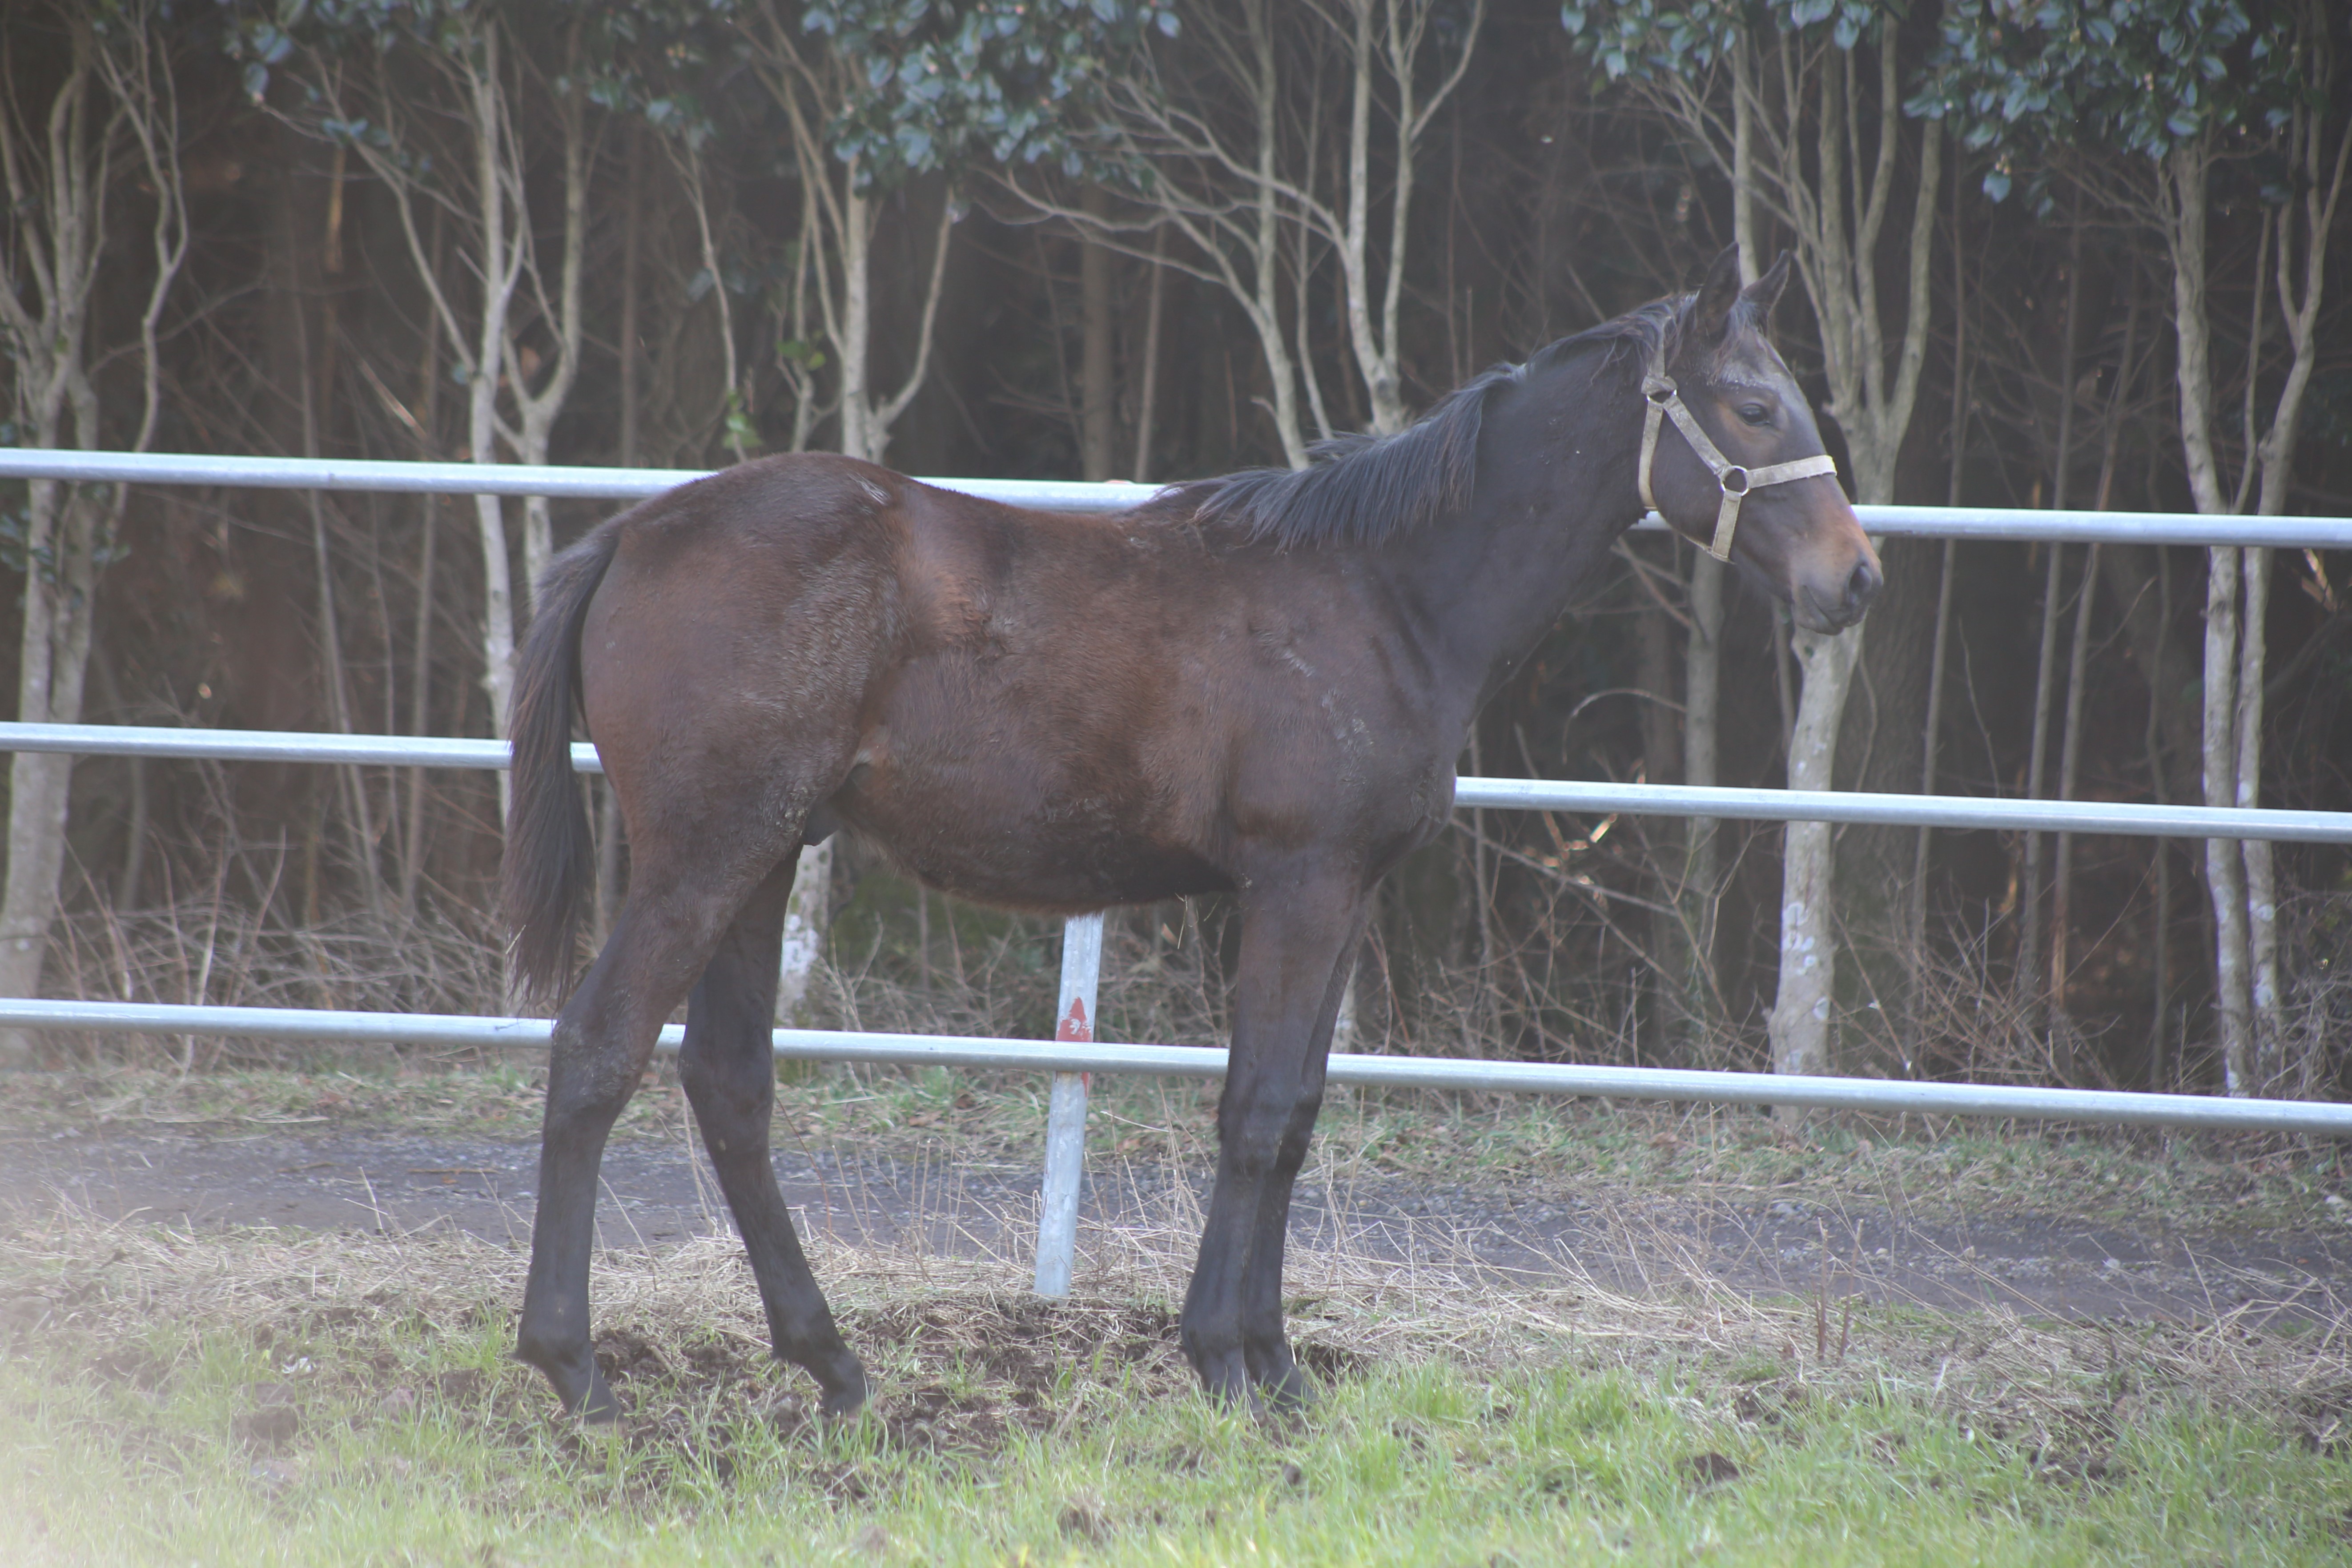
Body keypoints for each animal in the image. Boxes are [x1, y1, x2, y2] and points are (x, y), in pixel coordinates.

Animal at [506, 248, 1882, 1419]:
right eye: (1752, 407)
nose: (1855, 578)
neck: (1385, 592)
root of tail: (633, 531)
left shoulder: (1347, 894)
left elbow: (1298, 1107)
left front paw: (1270, 1354)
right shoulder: (1298, 885)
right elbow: (1259, 1110)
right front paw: (1231, 1360)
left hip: (764, 858)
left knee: (728, 1084)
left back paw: (831, 1362)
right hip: (705, 859)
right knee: (596, 1051)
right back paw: (573, 1368)